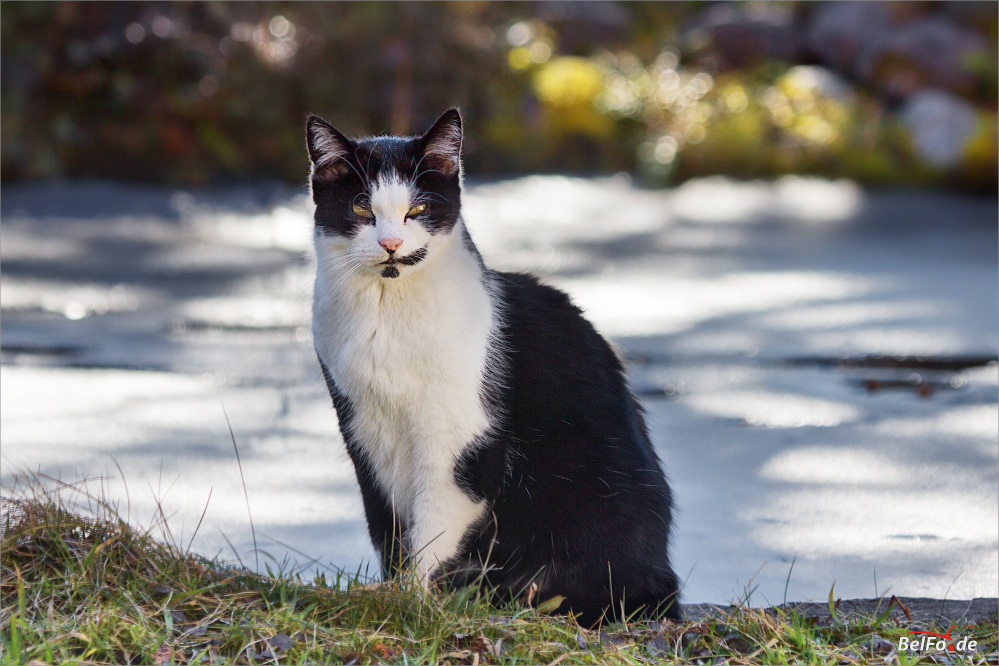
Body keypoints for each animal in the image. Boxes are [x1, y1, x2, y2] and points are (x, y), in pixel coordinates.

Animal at [304, 109, 680, 624]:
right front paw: (392, 595)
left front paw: (415, 604)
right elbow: (388, 530)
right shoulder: (366, 431)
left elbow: (432, 529)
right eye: (362, 209)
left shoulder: (458, 438)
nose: (391, 242)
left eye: (418, 209)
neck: (388, 311)